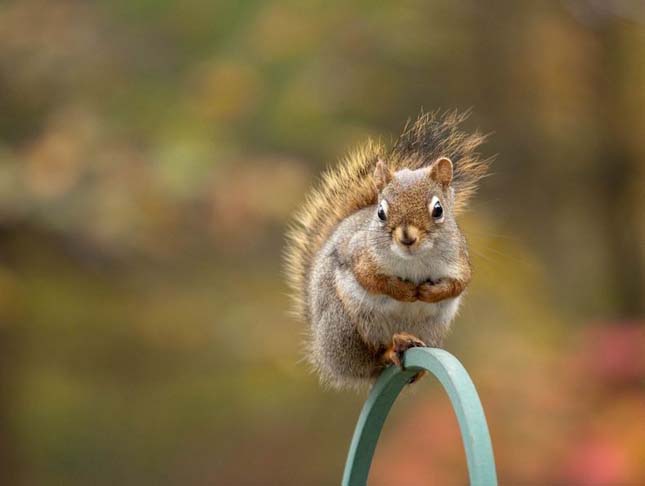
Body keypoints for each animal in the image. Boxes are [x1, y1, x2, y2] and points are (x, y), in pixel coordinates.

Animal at [282, 111, 488, 392]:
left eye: (438, 209)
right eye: (381, 212)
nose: (407, 237)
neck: (414, 260)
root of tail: (326, 356)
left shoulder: (458, 261)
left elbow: (459, 284)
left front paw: (428, 292)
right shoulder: (360, 255)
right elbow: (371, 278)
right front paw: (405, 291)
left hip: (432, 329)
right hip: (345, 329)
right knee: (371, 361)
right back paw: (393, 348)